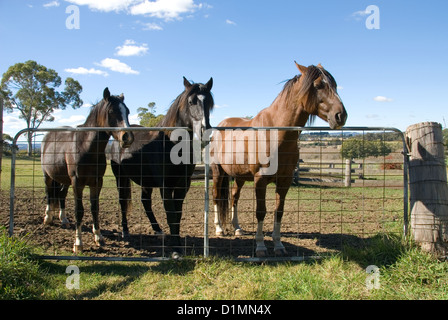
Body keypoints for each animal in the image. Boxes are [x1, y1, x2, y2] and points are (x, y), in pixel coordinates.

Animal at [41, 87, 134, 252]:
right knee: (49, 194)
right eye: (111, 111)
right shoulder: (77, 183)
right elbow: (79, 211)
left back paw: (63, 219)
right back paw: (48, 218)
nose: (127, 137)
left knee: (61, 195)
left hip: (65, 181)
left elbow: (94, 209)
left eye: (127, 111)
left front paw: (99, 237)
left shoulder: (97, 183)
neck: (86, 147)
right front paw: (78, 243)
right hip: (48, 176)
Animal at [109, 76, 214, 256]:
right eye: (191, 101)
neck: (171, 144)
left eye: (209, 102)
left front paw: (177, 243)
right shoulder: (165, 186)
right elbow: (171, 215)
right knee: (123, 201)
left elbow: (177, 215)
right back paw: (125, 231)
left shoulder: (182, 185)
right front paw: (176, 249)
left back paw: (158, 230)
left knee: (145, 202)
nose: (204, 131)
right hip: (120, 177)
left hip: (145, 182)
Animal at [212, 62, 348, 258]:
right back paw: (219, 229)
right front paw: (261, 246)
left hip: (239, 176)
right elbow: (261, 211)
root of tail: (220, 126)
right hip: (217, 171)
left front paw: (278, 245)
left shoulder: (285, 181)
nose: (341, 116)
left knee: (234, 197)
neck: (276, 133)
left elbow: (279, 211)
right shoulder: (260, 180)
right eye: (318, 85)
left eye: (335, 85)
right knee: (216, 197)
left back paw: (237, 228)